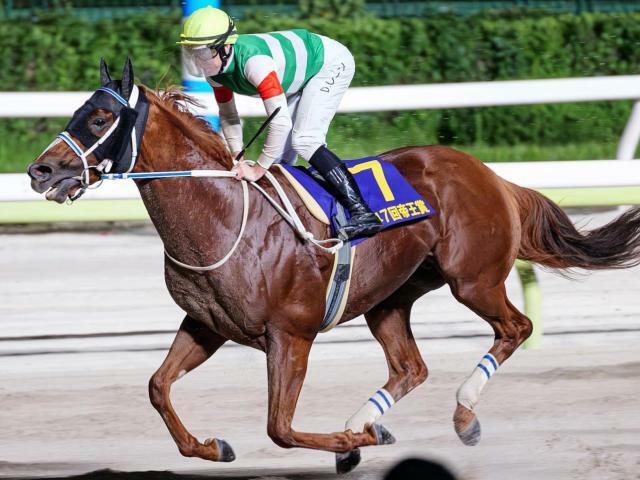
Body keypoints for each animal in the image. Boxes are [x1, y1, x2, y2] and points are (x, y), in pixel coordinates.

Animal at [26, 60, 640, 472]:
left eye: (100, 117)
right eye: (77, 111)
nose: (40, 171)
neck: (222, 215)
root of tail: (487, 172)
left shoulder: (290, 334)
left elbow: (279, 427)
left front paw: (354, 445)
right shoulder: (205, 326)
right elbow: (157, 387)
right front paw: (212, 446)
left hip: (473, 278)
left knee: (516, 327)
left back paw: (459, 417)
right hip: (390, 297)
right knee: (411, 366)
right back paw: (363, 420)